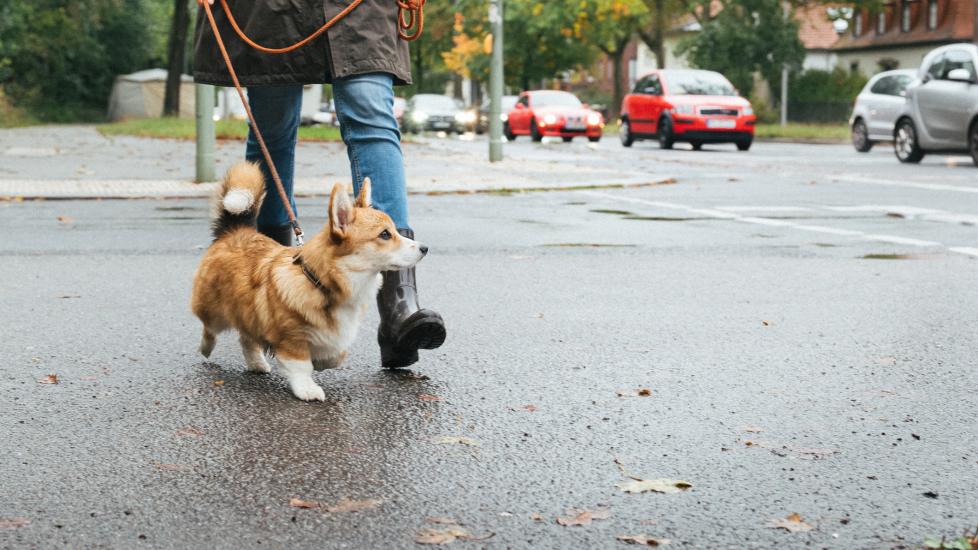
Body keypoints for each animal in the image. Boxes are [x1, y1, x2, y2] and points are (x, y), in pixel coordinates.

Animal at [191, 163, 428, 402]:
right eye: (385, 235)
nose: (424, 248)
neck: (322, 283)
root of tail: (234, 230)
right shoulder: (292, 339)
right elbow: (301, 366)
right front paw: (307, 389)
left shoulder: (336, 337)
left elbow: (337, 355)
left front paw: (321, 362)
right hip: (215, 312)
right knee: (209, 329)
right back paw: (206, 348)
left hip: (248, 313)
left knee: (246, 339)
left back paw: (257, 363)